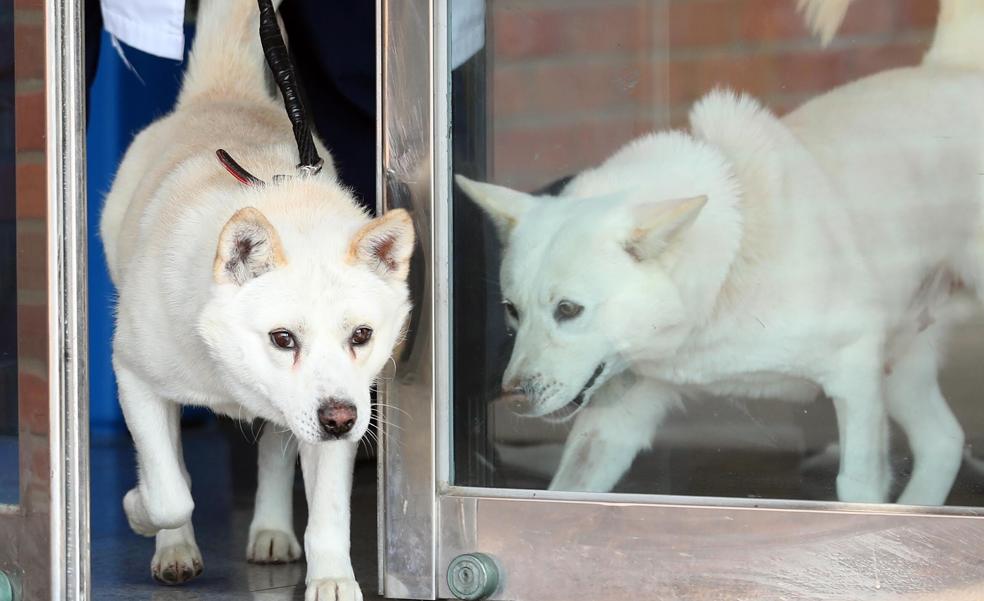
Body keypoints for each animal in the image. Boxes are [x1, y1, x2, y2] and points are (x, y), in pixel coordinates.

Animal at [458, 0, 984, 506]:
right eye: (512, 310)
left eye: (569, 309)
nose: (513, 398)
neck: (723, 274)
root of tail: (951, 64)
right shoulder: (617, 417)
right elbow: (568, 491)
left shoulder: (855, 372)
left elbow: (856, 488)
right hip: (900, 364)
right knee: (943, 441)